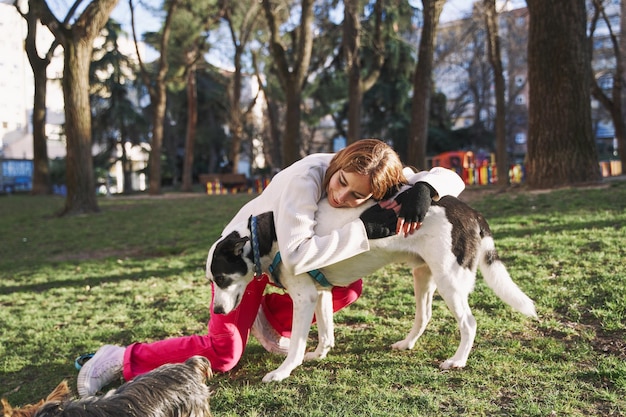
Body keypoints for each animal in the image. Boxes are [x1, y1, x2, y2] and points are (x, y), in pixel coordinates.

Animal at [206, 193, 536, 382]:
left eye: (221, 279)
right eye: (212, 281)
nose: (218, 311)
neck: (263, 234)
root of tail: (470, 211)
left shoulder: (304, 296)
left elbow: (297, 345)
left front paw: (283, 372)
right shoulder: (320, 293)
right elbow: (325, 332)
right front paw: (320, 354)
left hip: (450, 281)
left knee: (469, 323)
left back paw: (458, 361)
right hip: (423, 275)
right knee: (425, 316)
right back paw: (407, 344)